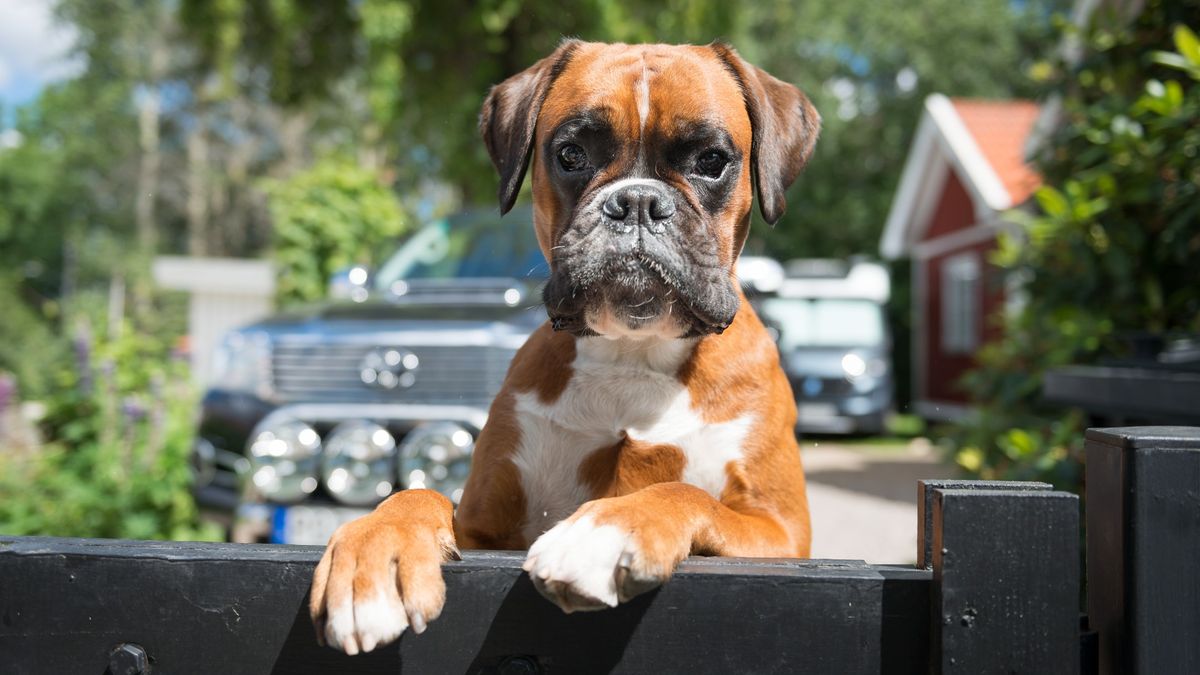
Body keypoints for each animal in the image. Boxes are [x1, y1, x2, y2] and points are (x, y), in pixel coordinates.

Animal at [309, 39, 820, 648]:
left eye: (712, 161)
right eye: (571, 154)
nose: (638, 202)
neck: (632, 354)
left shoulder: (779, 531)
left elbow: (685, 493)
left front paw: (605, 528)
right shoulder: (485, 530)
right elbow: (418, 496)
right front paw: (376, 551)